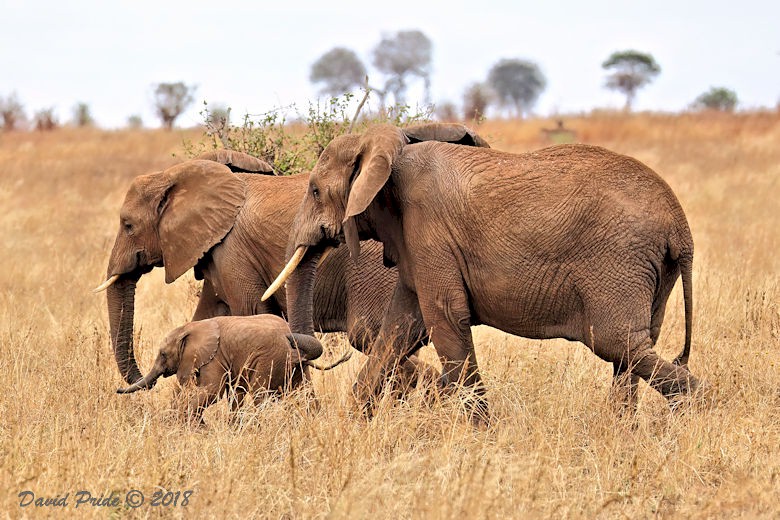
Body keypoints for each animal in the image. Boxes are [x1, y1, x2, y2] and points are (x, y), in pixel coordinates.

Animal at [94, 124, 488, 388]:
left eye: (127, 225)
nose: (135, 379)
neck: (179, 176)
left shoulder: (233, 251)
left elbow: (250, 313)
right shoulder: (216, 254)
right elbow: (206, 318)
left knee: (369, 336)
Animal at [116, 314, 350, 424]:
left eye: (163, 354)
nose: (117, 390)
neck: (191, 327)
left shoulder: (214, 357)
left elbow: (214, 391)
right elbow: (234, 394)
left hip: (269, 359)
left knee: (259, 396)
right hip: (296, 368)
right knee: (305, 394)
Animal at [266, 124, 704, 420]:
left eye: (315, 191)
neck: (388, 145)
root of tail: (681, 227)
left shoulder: (429, 230)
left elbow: (446, 317)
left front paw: (482, 436)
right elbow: (400, 327)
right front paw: (353, 425)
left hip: (619, 262)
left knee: (618, 344)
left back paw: (692, 413)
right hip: (649, 271)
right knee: (635, 349)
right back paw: (621, 430)